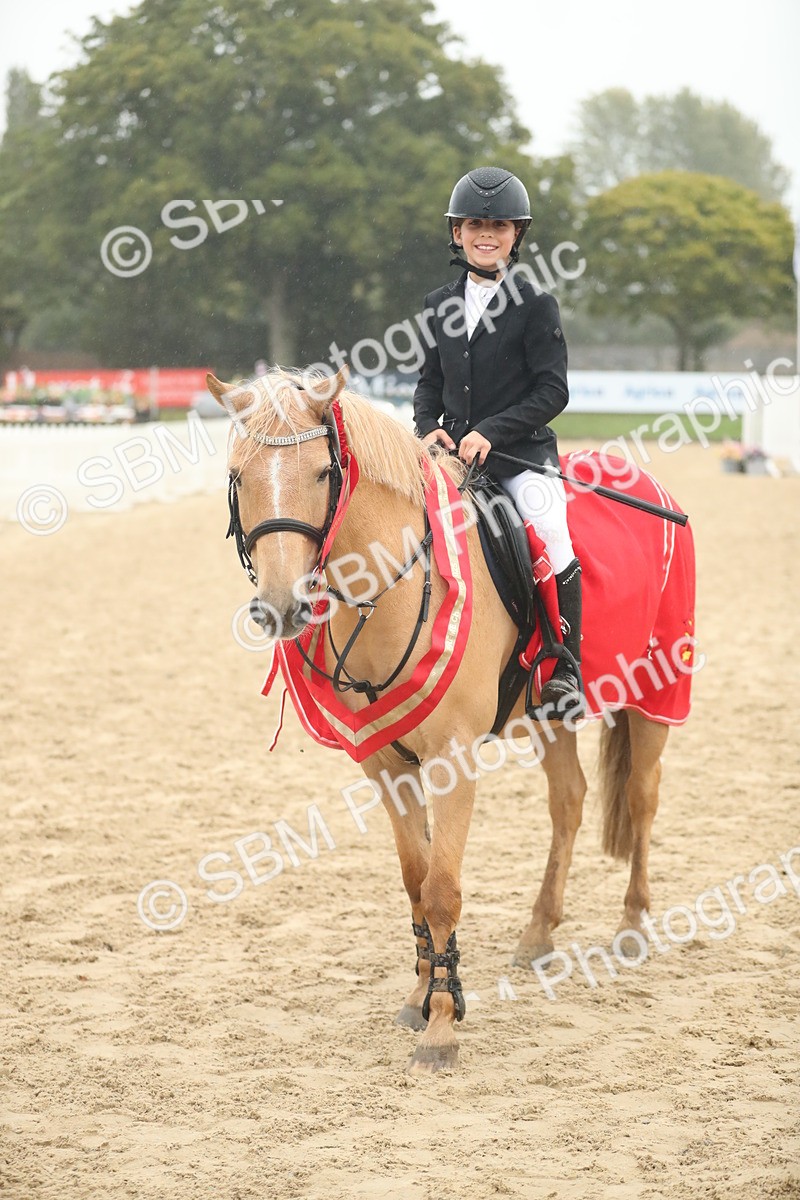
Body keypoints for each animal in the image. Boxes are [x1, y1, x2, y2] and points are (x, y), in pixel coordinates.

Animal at [206, 366, 696, 1075]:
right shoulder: (386, 764)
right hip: (551, 716)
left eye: (324, 473)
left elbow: (442, 888)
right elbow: (416, 882)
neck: (390, 587)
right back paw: (538, 932)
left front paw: (442, 1026)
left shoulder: (452, 758)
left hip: (657, 693)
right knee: (569, 801)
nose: (279, 606)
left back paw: (632, 926)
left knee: (641, 797)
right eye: (239, 475)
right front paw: (421, 996)